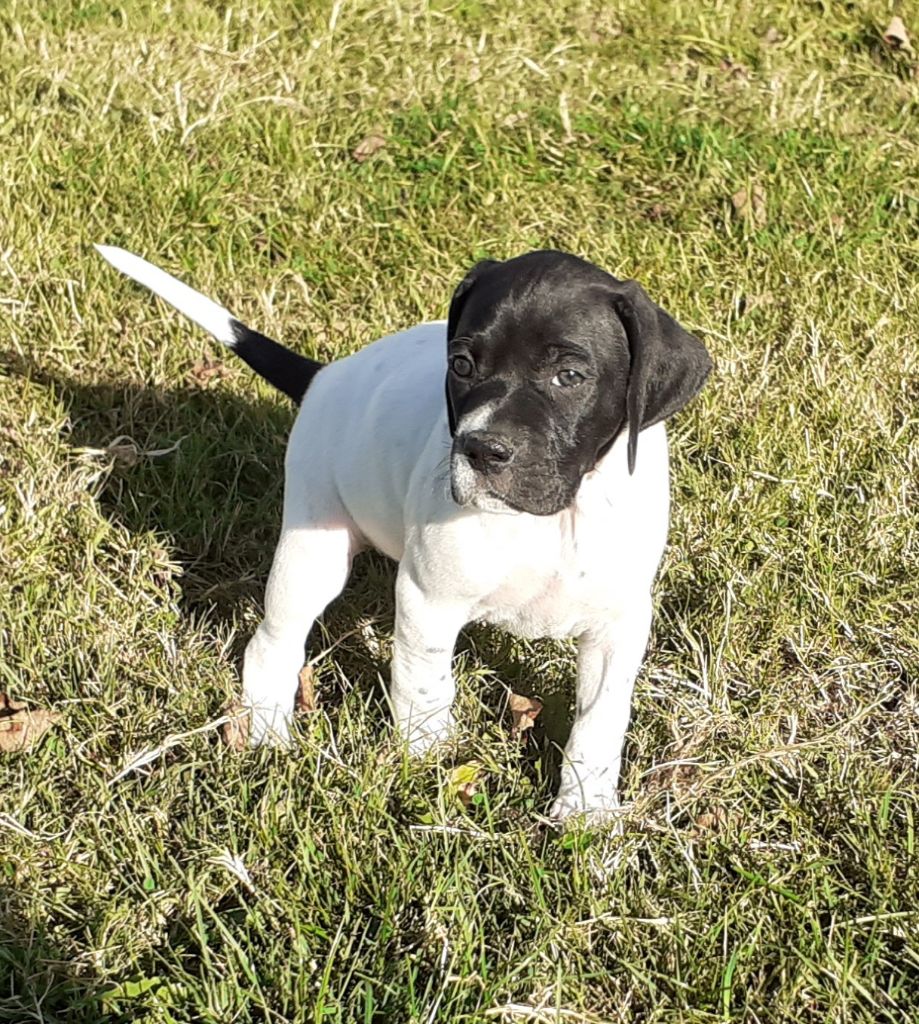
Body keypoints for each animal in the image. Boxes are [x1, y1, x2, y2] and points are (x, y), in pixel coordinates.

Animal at [96, 245, 711, 822]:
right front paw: (432, 767)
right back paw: (270, 736)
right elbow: (424, 688)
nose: (480, 449)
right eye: (461, 364)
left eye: (570, 377)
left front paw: (586, 809)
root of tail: (325, 378)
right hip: (312, 550)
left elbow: (600, 719)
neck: (552, 520)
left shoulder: (618, 625)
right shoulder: (428, 601)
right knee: (274, 643)